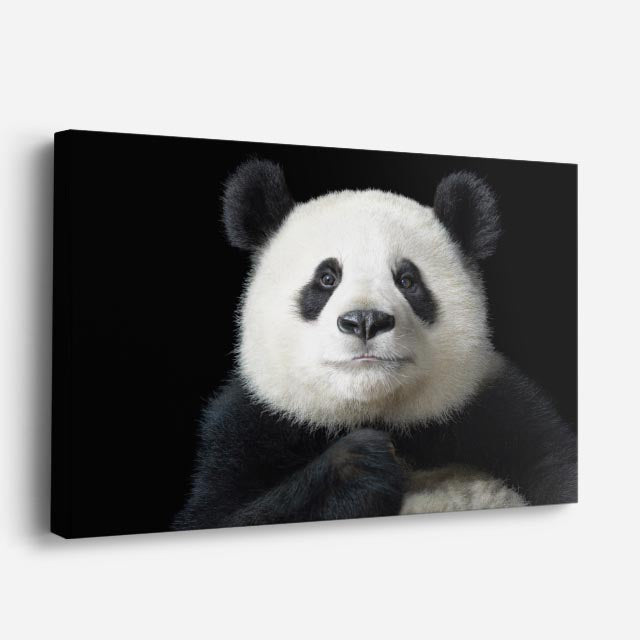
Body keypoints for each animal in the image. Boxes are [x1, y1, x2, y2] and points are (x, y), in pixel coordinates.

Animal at [174, 159, 577, 531]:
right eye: (326, 278)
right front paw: (360, 465)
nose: (365, 320)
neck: (375, 411)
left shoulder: (502, 410)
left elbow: (555, 464)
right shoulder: (246, 431)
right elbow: (218, 514)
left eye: (408, 281)